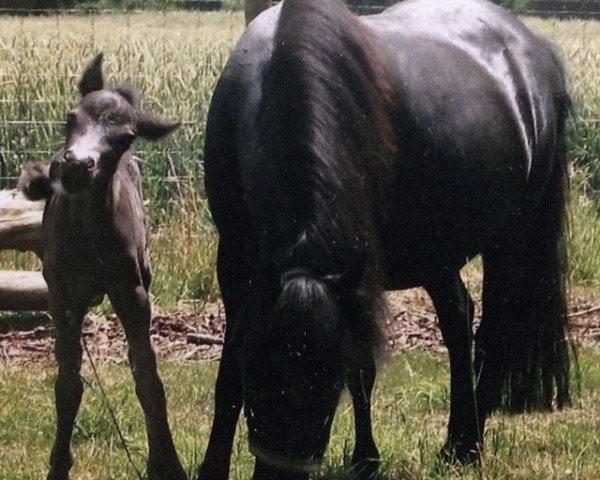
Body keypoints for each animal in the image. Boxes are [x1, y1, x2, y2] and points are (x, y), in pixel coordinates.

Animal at [19, 53, 185, 480]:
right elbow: (68, 383)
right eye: (69, 117)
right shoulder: (62, 296)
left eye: (125, 137)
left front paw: (166, 463)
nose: (77, 165)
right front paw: (58, 465)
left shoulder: (132, 291)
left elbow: (148, 378)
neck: (89, 239)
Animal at [198, 1, 572, 478]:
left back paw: (470, 443)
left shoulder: (357, 275)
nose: (280, 473)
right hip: (437, 253)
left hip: (510, 239)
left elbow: (362, 367)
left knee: (493, 332)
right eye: (260, 374)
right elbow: (227, 375)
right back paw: (456, 440)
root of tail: (532, 51)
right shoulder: (236, 262)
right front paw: (212, 466)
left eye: (327, 387)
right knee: (458, 320)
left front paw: (366, 459)